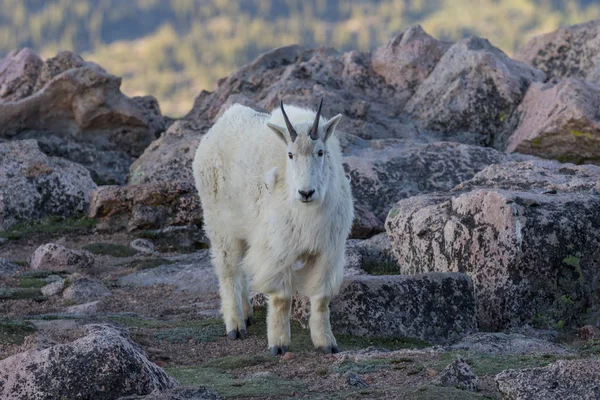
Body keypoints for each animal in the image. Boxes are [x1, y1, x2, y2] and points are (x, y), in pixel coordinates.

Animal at [192, 101, 354, 356]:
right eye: (290, 154)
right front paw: (278, 344)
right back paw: (235, 325)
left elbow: (321, 298)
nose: (306, 193)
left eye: (320, 152)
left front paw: (326, 343)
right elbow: (281, 299)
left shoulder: (327, 252)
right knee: (228, 270)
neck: (308, 213)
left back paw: (247, 313)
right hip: (220, 225)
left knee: (242, 268)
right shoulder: (278, 250)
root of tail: (221, 122)